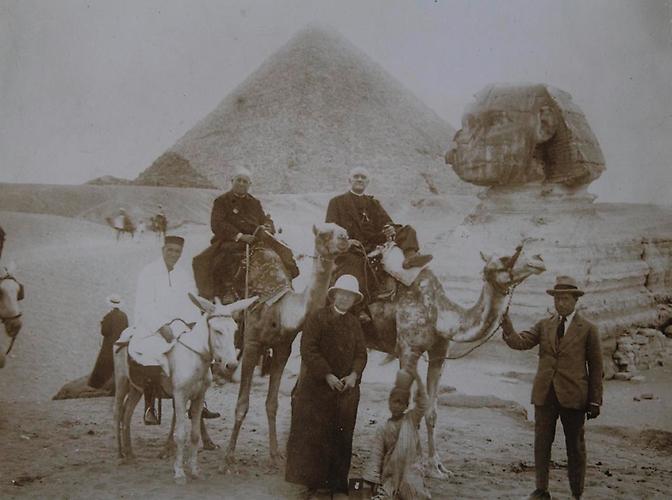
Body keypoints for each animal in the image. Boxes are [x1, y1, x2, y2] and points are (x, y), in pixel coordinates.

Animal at [114, 294, 256, 482]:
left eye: (234, 329)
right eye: (217, 330)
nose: (231, 365)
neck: (194, 357)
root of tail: (125, 335)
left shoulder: (198, 397)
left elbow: (195, 434)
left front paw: (194, 470)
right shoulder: (180, 397)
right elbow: (180, 434)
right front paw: (179, 473)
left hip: (136, 388)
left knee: (127, 415)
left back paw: (129, 454)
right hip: (121, 382)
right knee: (117, 414)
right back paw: (120, 454)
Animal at [226, 223, 352, 464]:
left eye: (343, 230)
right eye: (323, 233)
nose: (345, 238)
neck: (282, 310)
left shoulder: (283, 347)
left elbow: (272, 403)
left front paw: (276, 455)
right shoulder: (252, 343)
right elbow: (242, 404)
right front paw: (229, 459)